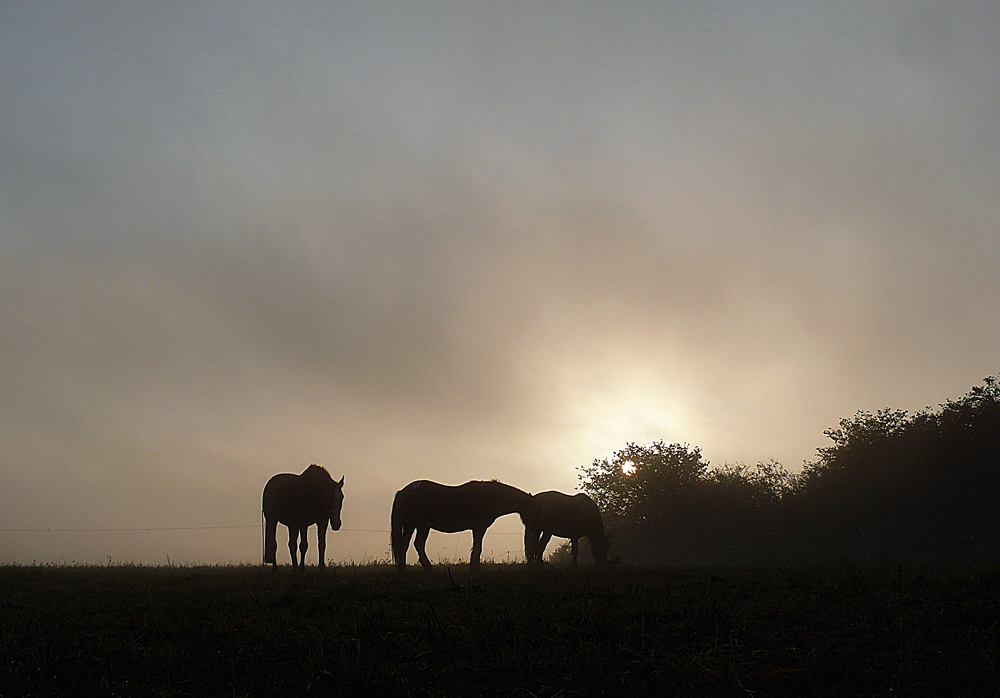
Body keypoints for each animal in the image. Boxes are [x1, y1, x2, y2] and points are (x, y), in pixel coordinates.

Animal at [388, 478, 532, 572]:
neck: (488, 496)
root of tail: (403, 492)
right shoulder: (479, 527)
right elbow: (477, 547)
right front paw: (474, 568)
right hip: (415, 525)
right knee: (409, 545)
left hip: (419, 526)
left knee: (413, 544)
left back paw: (421, 569)